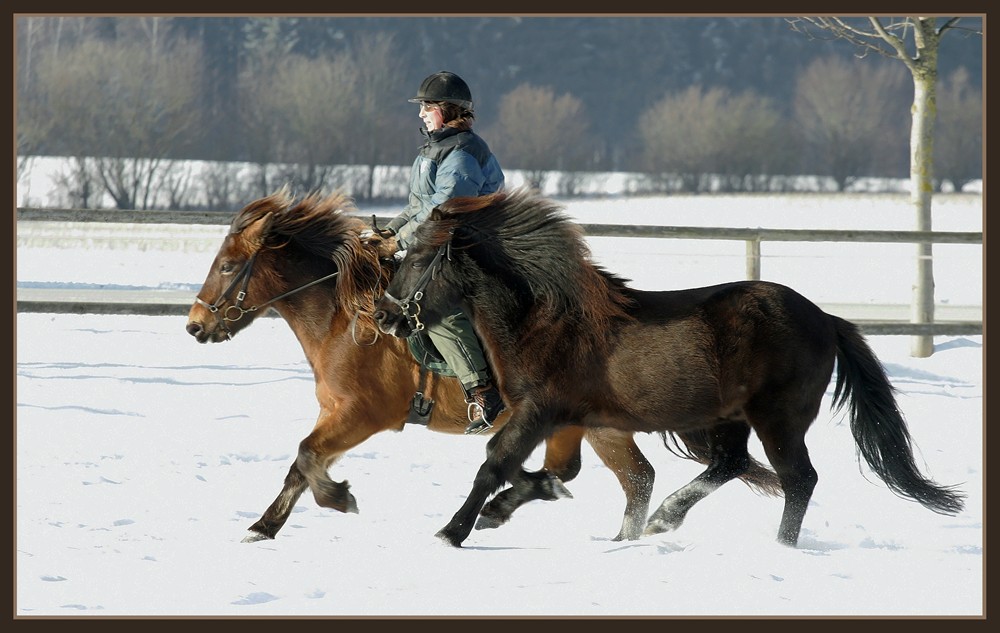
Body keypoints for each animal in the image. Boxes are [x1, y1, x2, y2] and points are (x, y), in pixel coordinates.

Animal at [185, 185, 668, 540]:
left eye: (227, 266)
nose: (194, 325)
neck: (343, 321)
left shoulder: (363, 414)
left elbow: (307, 456)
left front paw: (340, 499)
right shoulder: (334, 412)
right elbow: (300, 467)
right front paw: (263, 527)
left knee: (624, 477)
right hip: (591, 425)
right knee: (621, 475)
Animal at [372, 188, 964, 548]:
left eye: (418, 258)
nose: (384, 316)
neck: (545, 319)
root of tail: (825, 318)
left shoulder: (539, 411)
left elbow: (495, 462)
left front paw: (453, 530)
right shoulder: (577, 421)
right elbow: (551, 472)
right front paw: (504, 510)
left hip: (778, 418)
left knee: (799, 479)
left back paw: (779, 547)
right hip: (727, 419)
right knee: (729, 465)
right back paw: (663, 520)